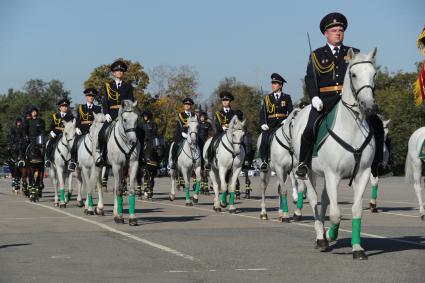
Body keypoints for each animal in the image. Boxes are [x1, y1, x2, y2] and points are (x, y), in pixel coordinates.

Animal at [292, 48, 378, 260]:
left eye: (374, 74)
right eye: (353, 74)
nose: (369, 106)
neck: (352, 127)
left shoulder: (362, 174)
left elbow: (356, 210)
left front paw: (357, 248)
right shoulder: (333, 175)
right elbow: (336, 214)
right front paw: (330, 235)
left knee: (323, 200)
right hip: (308, 172)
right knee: (314, 200)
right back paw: (320, 237)